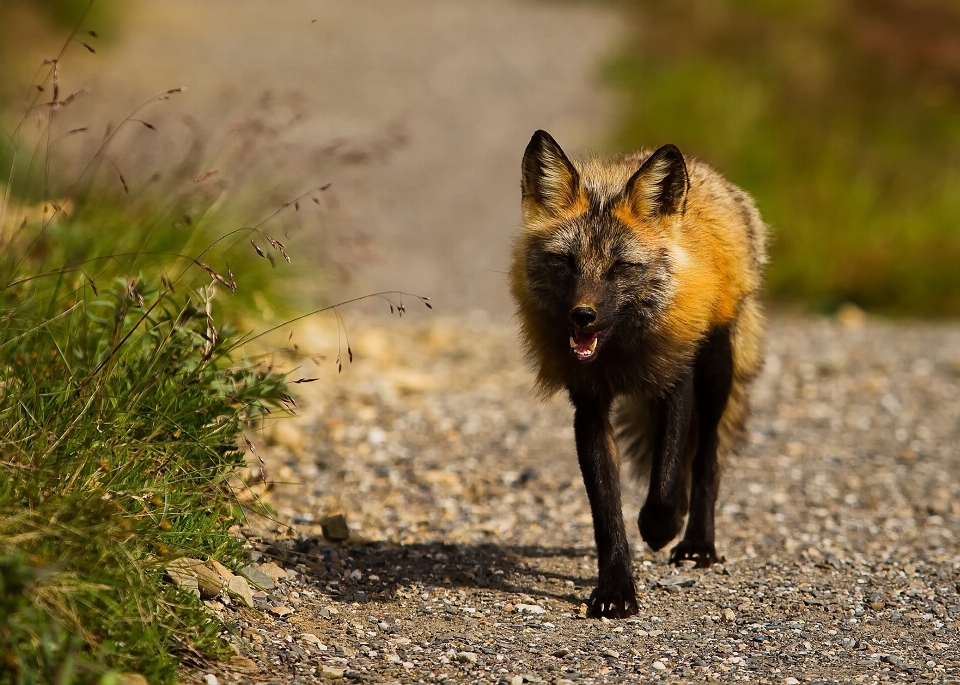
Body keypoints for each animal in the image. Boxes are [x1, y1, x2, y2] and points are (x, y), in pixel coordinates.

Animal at [510, 131, 764, 616]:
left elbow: (665, 485)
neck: (619, 353)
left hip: (715, 371)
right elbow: (607, 513)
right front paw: (615, 589)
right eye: (566, 262)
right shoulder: (589, 407)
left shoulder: (675, 380)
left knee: (706, 457)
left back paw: (697, 541)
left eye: (621, 267)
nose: (582, 316)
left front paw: (662, 527)